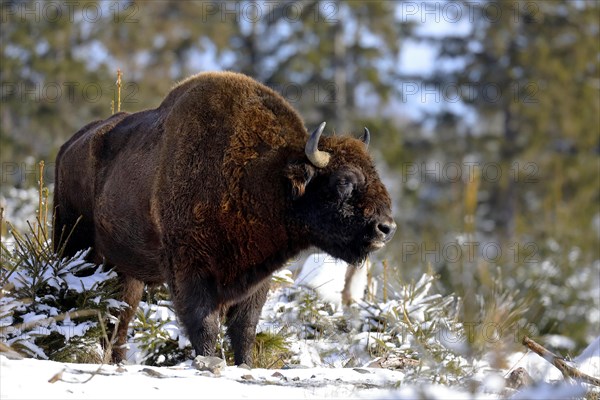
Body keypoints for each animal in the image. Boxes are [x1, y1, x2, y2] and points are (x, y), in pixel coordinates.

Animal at [54, 70, 396, 364]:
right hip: (74, 246)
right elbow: (205, 326)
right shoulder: (190, 270)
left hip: (126, 271)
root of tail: (69, 146)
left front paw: (245, 365)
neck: (263, 176)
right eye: (343, 182)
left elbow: (244, 329)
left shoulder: (256, 279)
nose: (386, 228)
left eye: (375, 175)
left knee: (119, 320)